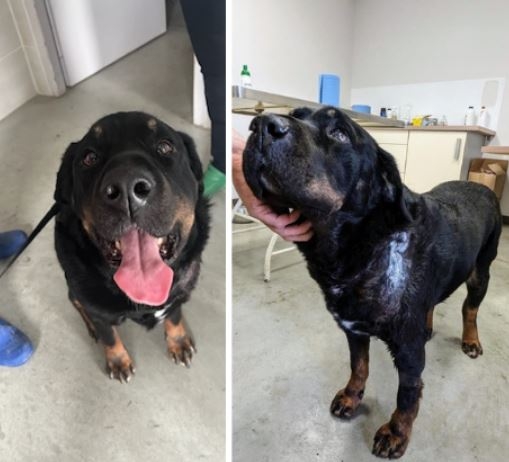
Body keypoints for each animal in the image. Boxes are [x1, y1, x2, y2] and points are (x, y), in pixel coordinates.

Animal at [54, 112, 209, 382]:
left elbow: (174, 315)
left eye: (165, 147)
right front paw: (118, 361)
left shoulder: (178, 294)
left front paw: (178, 341)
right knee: (77, 304)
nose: (127, 187)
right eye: (89, 158)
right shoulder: (95, 305)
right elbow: (108, 335)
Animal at [242, 106, 501, 458]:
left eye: (339, 134)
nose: (261, 125)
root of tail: (483, 186)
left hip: (480, 272)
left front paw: (397, 432)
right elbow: (359, 366)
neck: (365, 248)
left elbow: (407, 395)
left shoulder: (408, 351)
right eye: (297, 114)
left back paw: (471, 340)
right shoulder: (353, 330)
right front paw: (352, 397)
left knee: (470, 310)